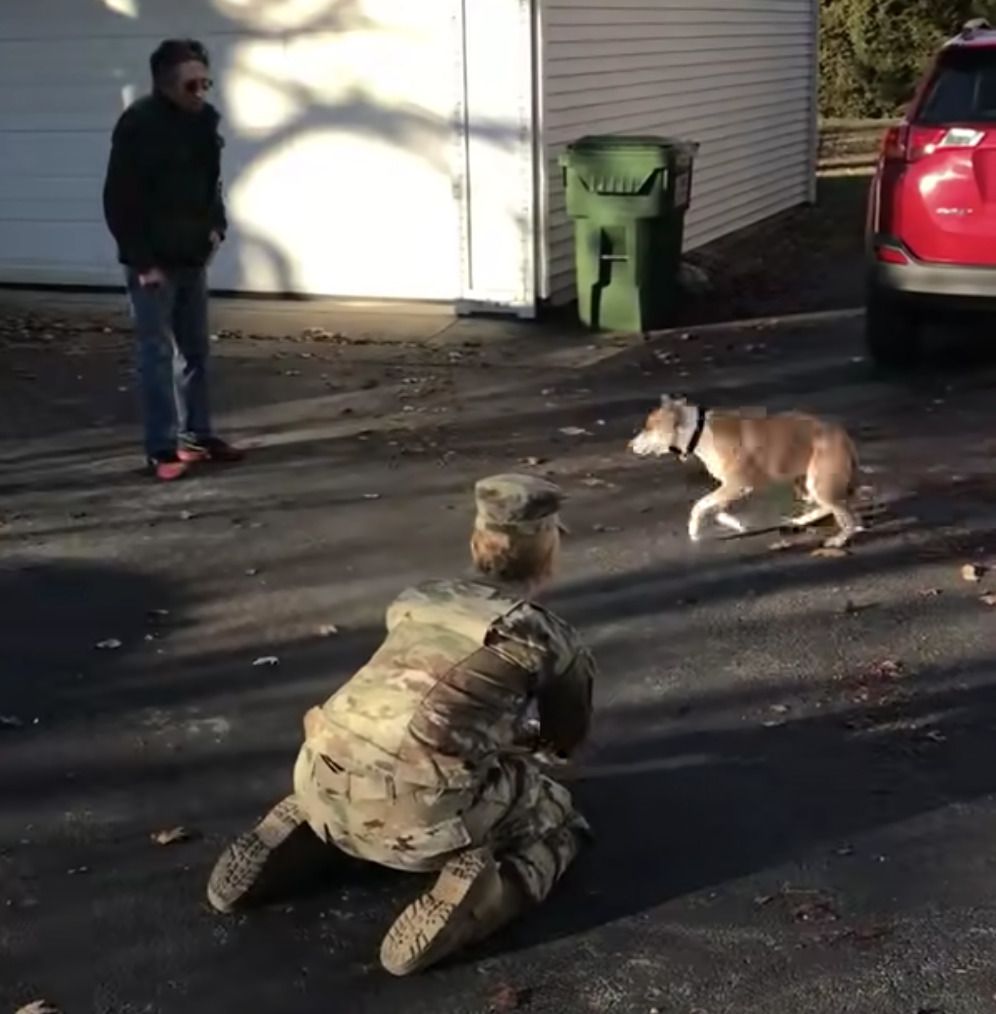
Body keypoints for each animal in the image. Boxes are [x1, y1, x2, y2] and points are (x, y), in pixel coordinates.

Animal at [632, 395, 864, 551]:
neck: (698, 431)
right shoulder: (731, 488)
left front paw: (694, 529)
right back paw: (800, 521)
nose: (629, 445)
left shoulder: (737, 485)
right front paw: (736, 524)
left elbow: (699, 505)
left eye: (648, 428)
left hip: (819, 484)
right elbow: (717, 509)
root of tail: (843, 436)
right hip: (805, 484)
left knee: (847, 514)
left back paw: (840, 539)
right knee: (829, 508)